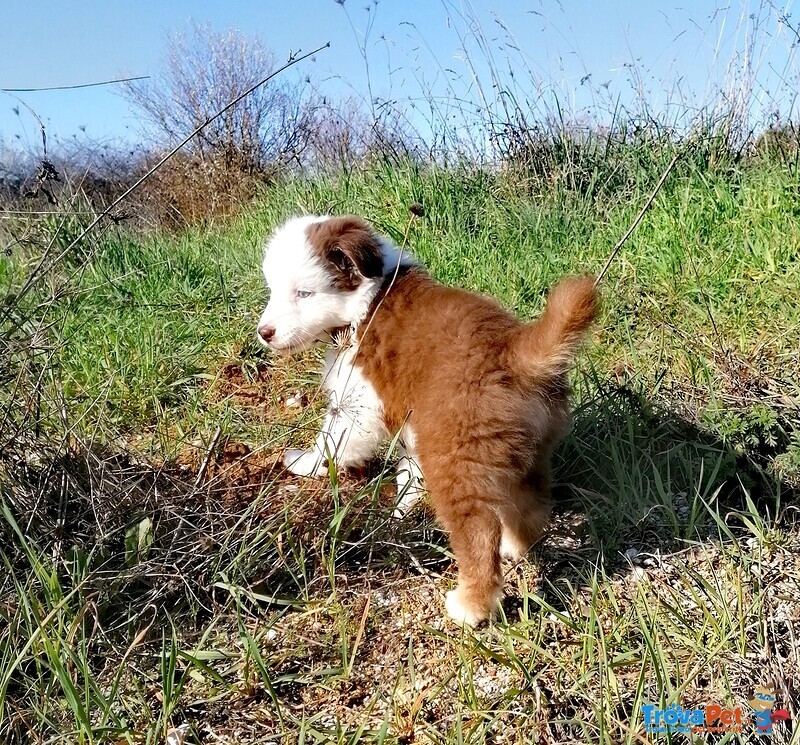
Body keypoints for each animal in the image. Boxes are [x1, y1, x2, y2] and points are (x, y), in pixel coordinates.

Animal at [256, 217, 600, 628]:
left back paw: (470, 605)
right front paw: (403, 506)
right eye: (274, 291)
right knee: (530, 509)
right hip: (528, 452)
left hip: (456, 461)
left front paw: (305, 463)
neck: (368, 298)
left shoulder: (360, 404)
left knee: (477, 534)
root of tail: (515, 354)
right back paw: (514, 546)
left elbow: (334, 440)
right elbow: (409, 469)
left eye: (304, 293)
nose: (264, 333)